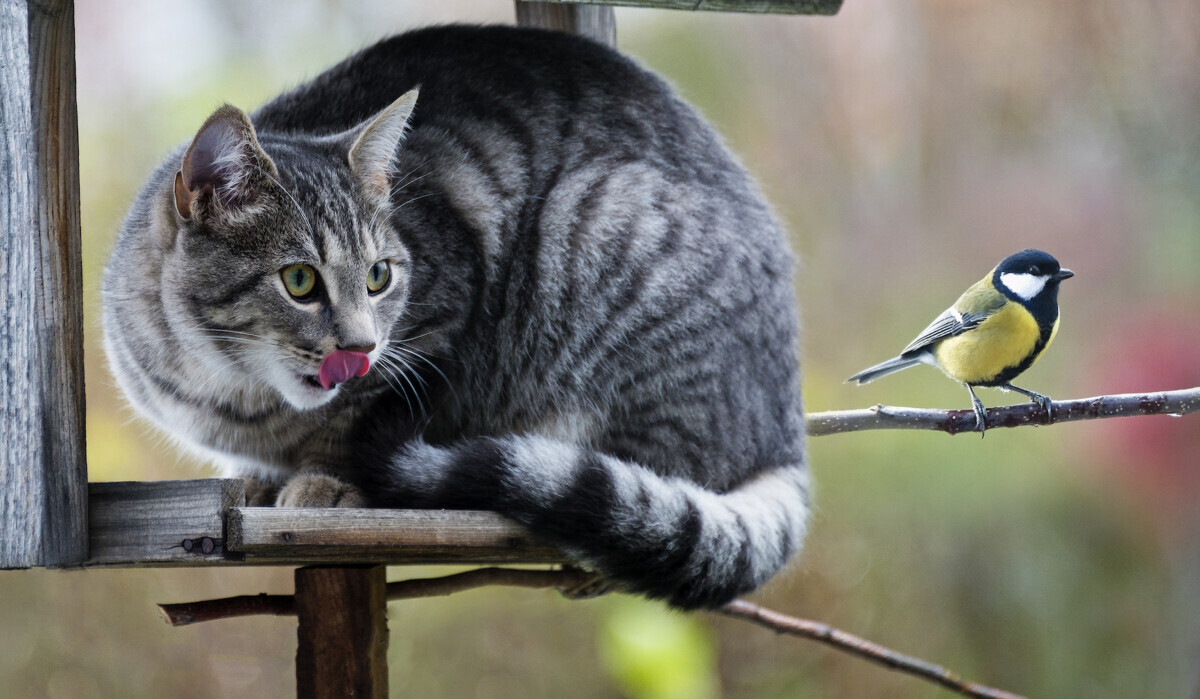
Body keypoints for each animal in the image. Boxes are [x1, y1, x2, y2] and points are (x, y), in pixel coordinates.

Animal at [103, 24, 811, 610]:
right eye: (299, 281)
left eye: (379, 276)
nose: (361, 346)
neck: (233, 393)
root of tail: (786, 425)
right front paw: (255, 480)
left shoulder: (439, 321)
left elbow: (358, 419)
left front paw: (324, 481)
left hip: (599, 223)